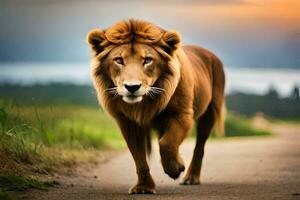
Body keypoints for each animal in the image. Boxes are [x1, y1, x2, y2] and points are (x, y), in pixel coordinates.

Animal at [86, 19, 225, 195]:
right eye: (118, 60)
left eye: (147, 60)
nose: (132, 87)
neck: (145, 103)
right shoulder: (128, 122)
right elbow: (139, 157)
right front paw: (143, 187)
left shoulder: (182, 114)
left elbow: (167, 143)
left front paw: (175, 168)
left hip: (210, 112)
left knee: (199, 147)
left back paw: (191, 177)